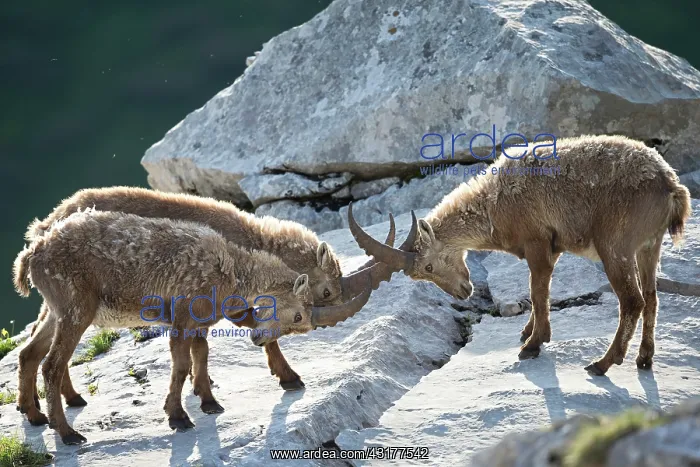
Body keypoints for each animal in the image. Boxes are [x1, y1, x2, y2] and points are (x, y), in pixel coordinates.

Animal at [21, 186, 395, 415]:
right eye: (328, 291)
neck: (249, 241)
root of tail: (42, 230)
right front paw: (288, 377)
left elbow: (201, 347)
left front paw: (201, 389)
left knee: (37, 343)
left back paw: (47, 403)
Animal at [348, 134, 692, 375]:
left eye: (429, 266)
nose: (463, 292)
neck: (493, 203)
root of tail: (671, 186)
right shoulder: (552, 248)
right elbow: (540, 294)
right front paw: (529, 332)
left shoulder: (537, 241)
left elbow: (537, 291)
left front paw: (533, 344)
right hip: (649, 246)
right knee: (652, 296)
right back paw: (644, 358)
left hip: (615, 246)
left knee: (633, 300)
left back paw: (603, 363)